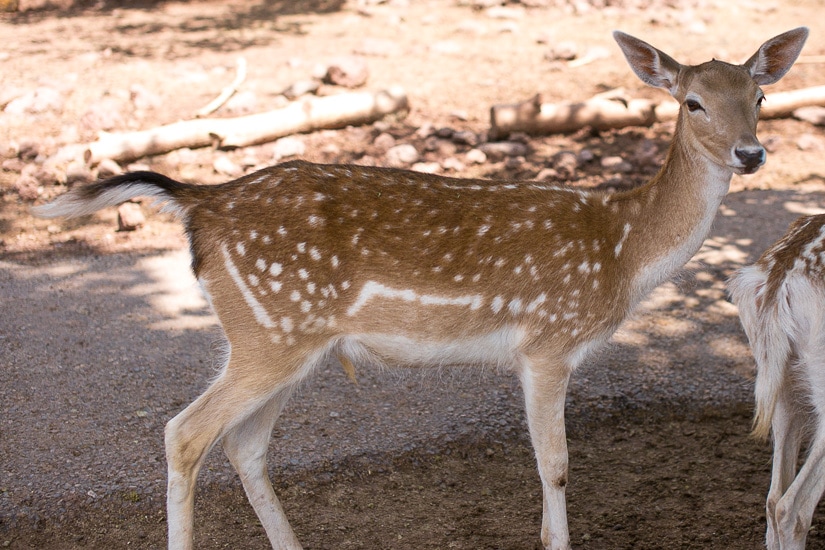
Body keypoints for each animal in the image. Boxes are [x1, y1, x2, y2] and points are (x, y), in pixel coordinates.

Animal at [33, 28, 804, 550]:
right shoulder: (547, 341)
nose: (751, 152)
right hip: (269, 331)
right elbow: (555, 465)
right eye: (693, 102)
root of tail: (202, 203)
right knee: (185, 432)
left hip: (287, 339)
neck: (621, 251)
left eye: (761, 95)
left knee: (243, 444)